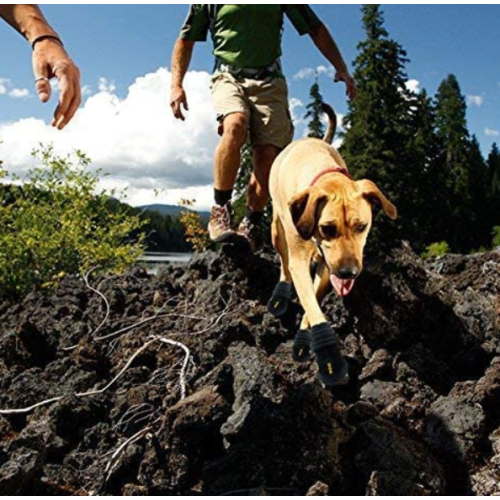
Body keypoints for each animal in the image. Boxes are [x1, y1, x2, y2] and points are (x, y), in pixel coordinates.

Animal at [268, 104, 396, 386]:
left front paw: (304, 341)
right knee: (283, 262)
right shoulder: (300, 260)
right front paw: (330, 358)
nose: (348, 273)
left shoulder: (328, 269)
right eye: (327, 228)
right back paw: (280, 294)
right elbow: (310, 301)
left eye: (362, 226)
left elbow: (312, 302)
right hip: (276, 229)